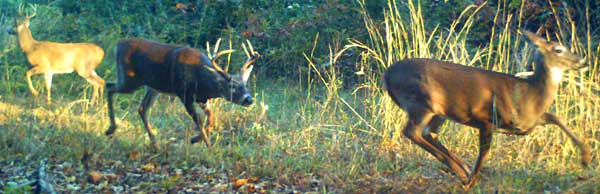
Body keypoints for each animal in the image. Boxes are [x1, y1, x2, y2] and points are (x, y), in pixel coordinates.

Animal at [105, 38, 258, 149]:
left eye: (245, 85)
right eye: (232, 86)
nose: (249, 99)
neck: (203, 82)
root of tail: (118, 45)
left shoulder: (202, 99)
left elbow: (212, 119)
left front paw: (195, 139)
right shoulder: (184, 94)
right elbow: (198, 119)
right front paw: (208, 146)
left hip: (153, 87)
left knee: (142, 108)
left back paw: (154, 143)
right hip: (129, 79)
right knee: (109, 87)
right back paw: (111, 129)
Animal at [384, 31, 592, 189]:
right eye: (559, 49)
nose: (583, 61)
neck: (529, 95)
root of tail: (386, 75)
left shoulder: (527, 123)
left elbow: (557, 117)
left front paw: (586, 158)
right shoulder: (484, 118)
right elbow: (485, 150)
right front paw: (472, 180)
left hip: (437, 112)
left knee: (429, 133)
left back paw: (461, 167)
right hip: (421, 102)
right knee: (412, 132)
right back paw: (461, 171)